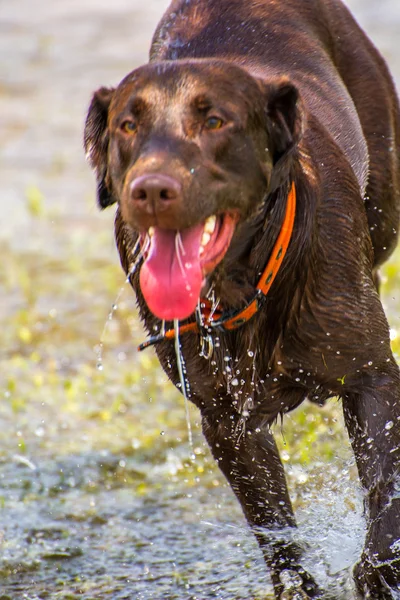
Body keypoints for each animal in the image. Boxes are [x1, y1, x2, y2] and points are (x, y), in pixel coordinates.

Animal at [84, 0, 400, 596]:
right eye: (127, 126)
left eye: (214, 122)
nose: (151, 189)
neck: (240, 282)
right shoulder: (227, 420)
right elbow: (275, 531)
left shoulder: (373, 380)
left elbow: (385, 504)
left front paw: (378, 577)